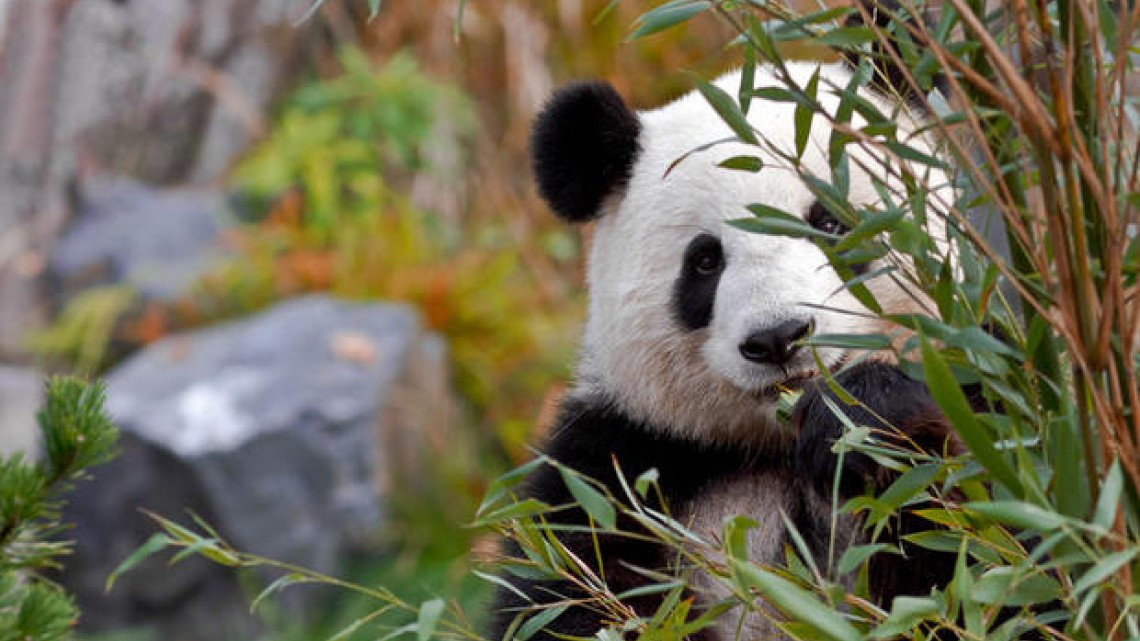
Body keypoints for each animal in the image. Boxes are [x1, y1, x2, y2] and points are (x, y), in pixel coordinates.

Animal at [489, 28, 966, 641]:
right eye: (704, 262)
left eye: (829, 221)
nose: (779, 336)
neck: (774, 442)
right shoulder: (616, 468)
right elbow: (571, 596)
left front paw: (864, 419)